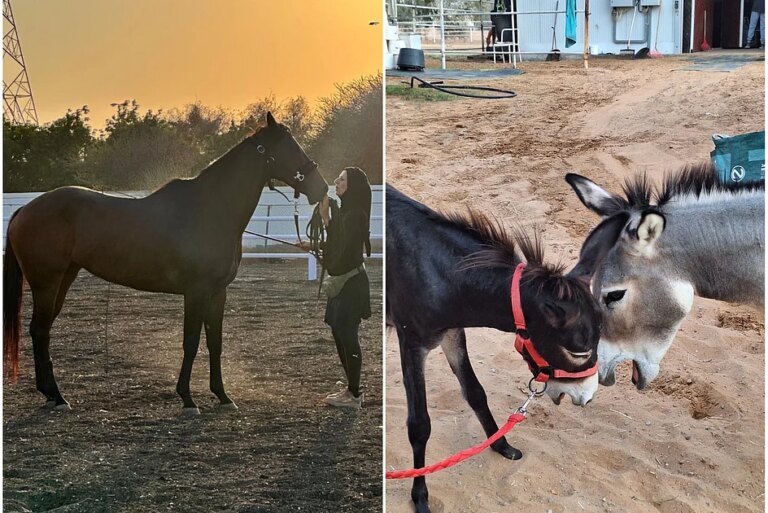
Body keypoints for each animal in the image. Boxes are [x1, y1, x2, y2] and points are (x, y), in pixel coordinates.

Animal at [3, 112, 328, 415]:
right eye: (289, 146)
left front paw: (223, 396)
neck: (210, 209)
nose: (322, 188)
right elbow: (191, 342)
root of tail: (25, 209)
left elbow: (215, 343)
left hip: (64, 279)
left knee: (41, 331)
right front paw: (187, 399)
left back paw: (51, 395)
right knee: (40, 330)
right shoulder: (196, 292)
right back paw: (57, 397)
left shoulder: (217, 293)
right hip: (47, 283)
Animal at [386, 185, 627, 513]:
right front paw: (420, 494)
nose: (587, 397)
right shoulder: (411, 342)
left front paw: (500, 444)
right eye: (578, 351)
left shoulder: (452, 332)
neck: (439, 274)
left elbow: (475, 392)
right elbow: (419, 424)